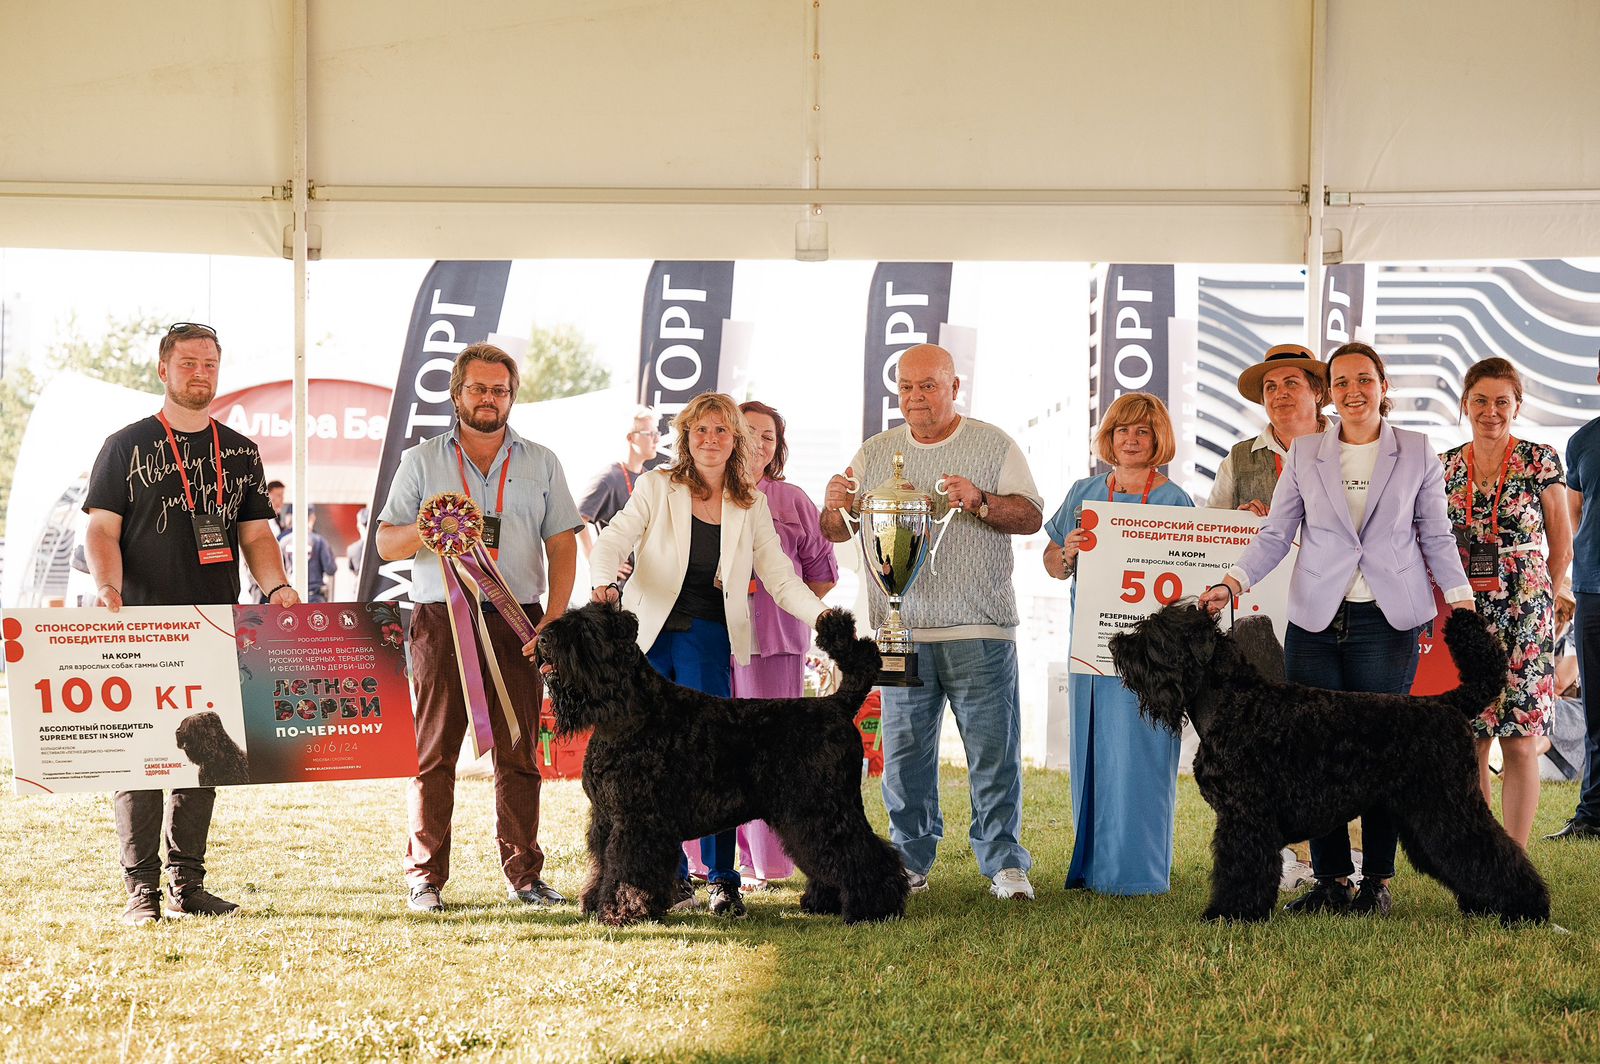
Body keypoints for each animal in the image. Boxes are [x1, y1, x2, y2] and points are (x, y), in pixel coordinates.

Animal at [534, 601, 908, 928]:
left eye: (586, 628)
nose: (543, 639)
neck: (629, 713)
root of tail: (838, 705)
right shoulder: (606, 819)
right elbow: (603, 865)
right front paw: (596, 903)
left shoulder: (636, 820)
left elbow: (626, 868)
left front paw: (620, 911)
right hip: (805, 817)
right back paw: (823, 902)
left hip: (823, 810)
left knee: (864, 854)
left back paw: (873, 908)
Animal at [1113, 601, 1548, 928]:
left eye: (1157, 637)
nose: (1118, 645)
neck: (1235, 703)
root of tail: (1448, 703)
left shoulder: (1245, 817)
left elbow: (1239, 868)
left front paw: (1229, 914)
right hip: (1426, 815)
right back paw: (1486, 905)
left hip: (1448, 807)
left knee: (1493, 850)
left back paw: (1528, 909)